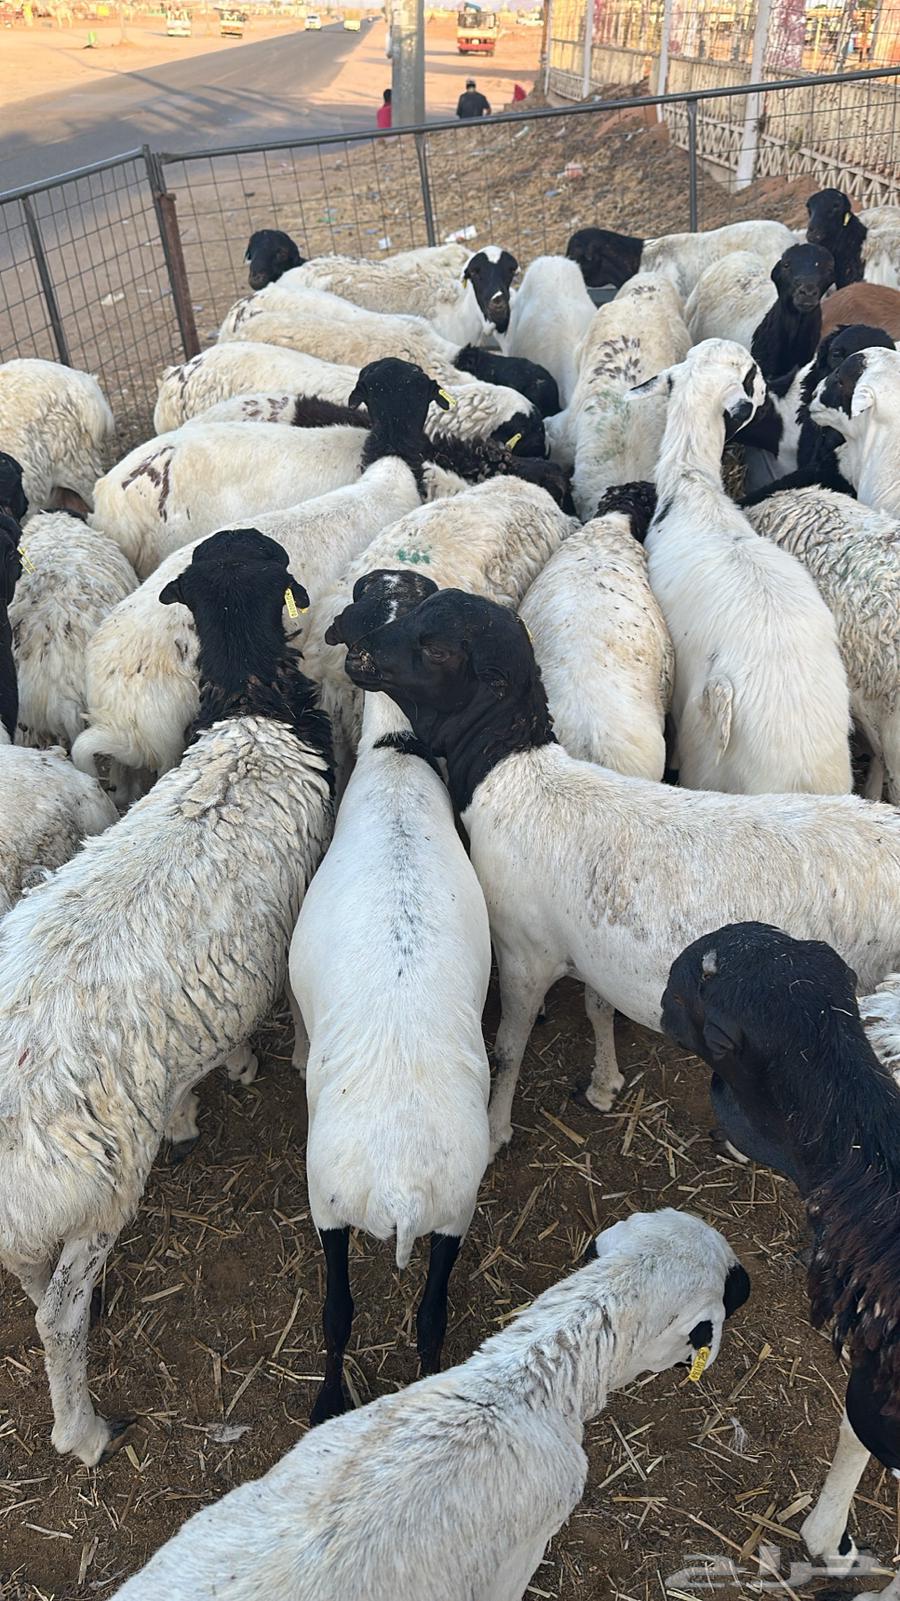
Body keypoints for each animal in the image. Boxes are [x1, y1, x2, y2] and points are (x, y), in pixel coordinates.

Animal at [340, 586, 900, 1153]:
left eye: (436, 650)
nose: (358, 650)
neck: (513, 775)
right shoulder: (593, 948)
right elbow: (597, 1006)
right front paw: (604, 1084)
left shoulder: (525, 954)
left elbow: (508, 1049)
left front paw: (497, 1128)